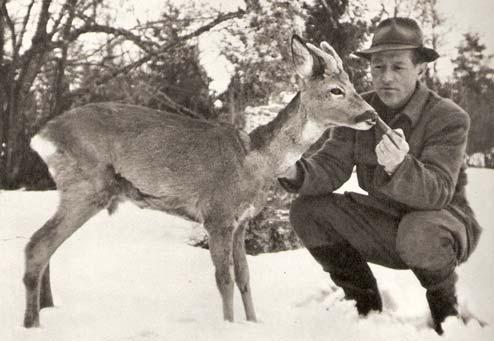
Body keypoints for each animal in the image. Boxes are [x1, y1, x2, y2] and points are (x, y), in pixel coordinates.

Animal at [23, 35, 376, 326]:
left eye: (355, 87)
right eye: (336, 90)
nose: (371, 115)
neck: (254, 159)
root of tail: (41, 136)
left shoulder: (241, 221)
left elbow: (245, 276)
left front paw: (253, 323)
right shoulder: (216, 214)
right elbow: (224, 279)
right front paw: (228, 325)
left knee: (45, 246)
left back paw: (46, 311)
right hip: (87, 184)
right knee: (38, 246)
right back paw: (33, 323)